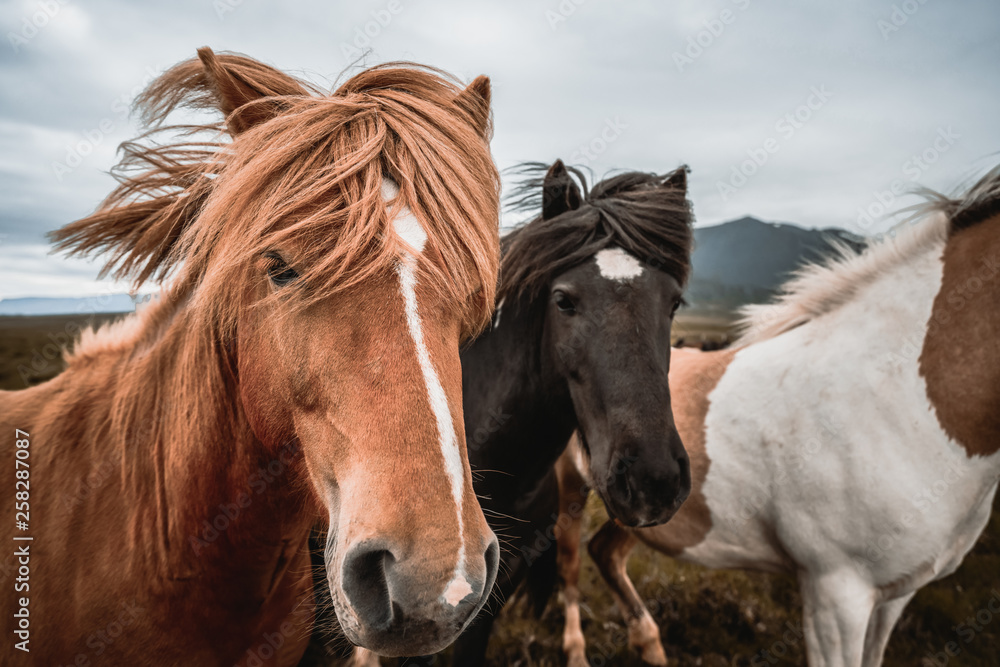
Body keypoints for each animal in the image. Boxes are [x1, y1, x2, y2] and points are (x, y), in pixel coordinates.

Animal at [556, 168, 1000, 667]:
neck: (896, 396)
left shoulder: (894, 596)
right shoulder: (837, 594)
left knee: (606, 553)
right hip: (574, 488)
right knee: (569, 564)